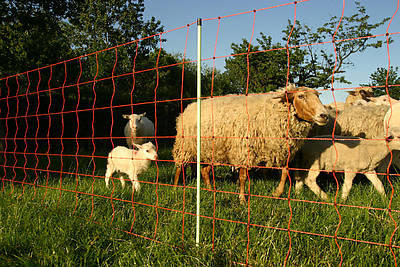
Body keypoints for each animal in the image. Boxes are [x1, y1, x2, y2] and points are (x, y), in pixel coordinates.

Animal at [172, 85, 328, 204]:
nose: (324, 115)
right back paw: (175, 187)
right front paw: (242, 199)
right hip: (184, 146)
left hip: (210, 150)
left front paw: (277, 193)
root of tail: (188, 108)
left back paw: (211, 190)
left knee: (204, 171)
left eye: (318, 96)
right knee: (180, 167)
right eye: (301, 96)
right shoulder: (243, 150)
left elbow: (285, 172)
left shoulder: (281, 150)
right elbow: (242, 177)